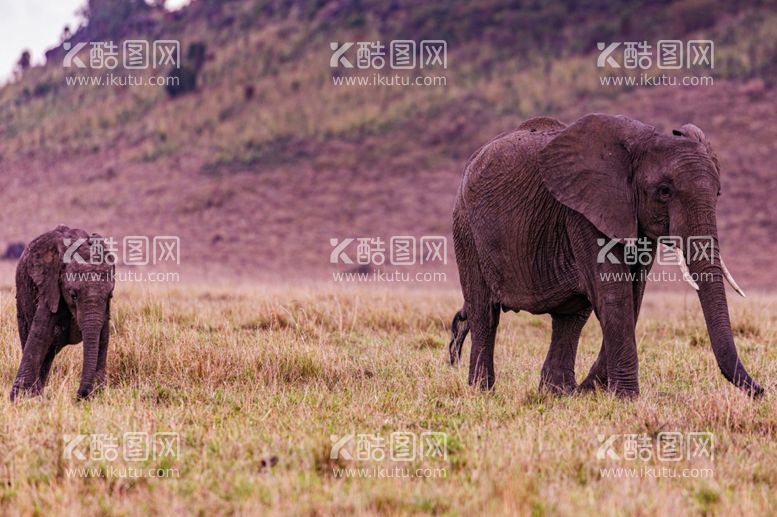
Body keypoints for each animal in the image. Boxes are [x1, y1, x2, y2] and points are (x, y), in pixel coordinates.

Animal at [10, 226, 114, 400]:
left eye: (110, 295)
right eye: (73, 295)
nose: (80, 395)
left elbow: (103, 337)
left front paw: (97, 394)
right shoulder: (50, 286)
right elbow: (39, 333)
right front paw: (19, 398)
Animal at [448, 113, 764, 398]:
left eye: (718, 193)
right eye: (664, 191)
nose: (762, 391)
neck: (640, 143)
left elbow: (633, 295)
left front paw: (600, 392)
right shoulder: (583, 213)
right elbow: (615, 296)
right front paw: (627, 399)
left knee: (570, 318)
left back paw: (557, 394)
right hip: (466, 228)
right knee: (484, 312)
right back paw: (483, 392)